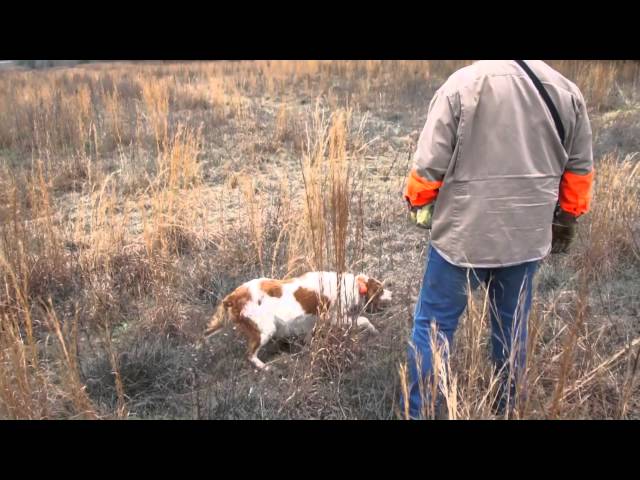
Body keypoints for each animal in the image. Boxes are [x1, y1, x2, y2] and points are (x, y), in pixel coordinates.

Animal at [202, 272, 392, 370]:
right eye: (381, 290)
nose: (392, 293)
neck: (350, 285)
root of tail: (233, 297)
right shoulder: (336, 317)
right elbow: (365, 320)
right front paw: (374, 330)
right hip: (265, 330)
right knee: (249, 354)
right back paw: (265, 367)